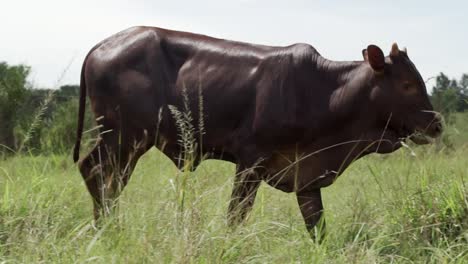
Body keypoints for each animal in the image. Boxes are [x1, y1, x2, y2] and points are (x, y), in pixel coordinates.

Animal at [73, 25, 442, 238]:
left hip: (124, 141)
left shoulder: (306, 177)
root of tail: (103, 45)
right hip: (125, 137)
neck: (324, 93)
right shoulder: (250, 161)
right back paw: (108, 231)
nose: (436, 124)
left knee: (106, 180)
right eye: (408, 84)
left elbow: (317, 228)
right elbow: (236, 216)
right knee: (98, 174)